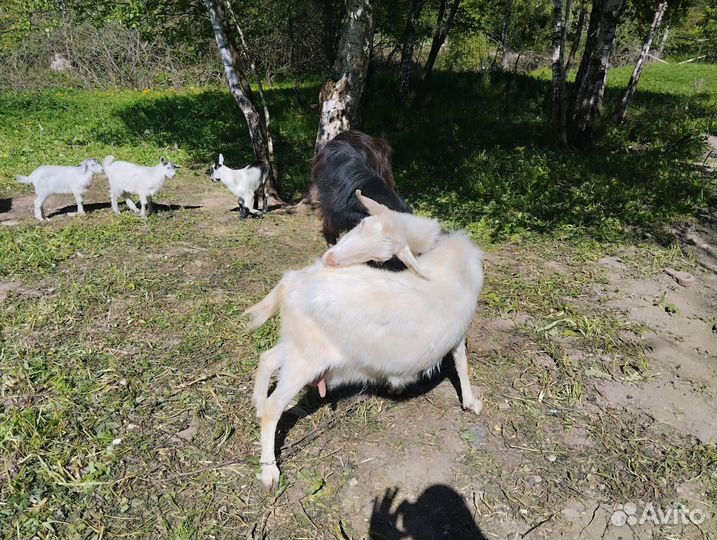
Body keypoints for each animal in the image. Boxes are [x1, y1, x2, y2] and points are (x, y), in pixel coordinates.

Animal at [244, 198, 484, 489]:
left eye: (383, 257)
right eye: (362, 224)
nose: (330, 259)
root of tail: (291, 282)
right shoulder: (459, 333)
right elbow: (462, 365)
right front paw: (471, 403)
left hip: (298, 342)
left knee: (266, 358)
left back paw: (257, 403)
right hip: (306, 358)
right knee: (273, 407)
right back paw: (269, 471)